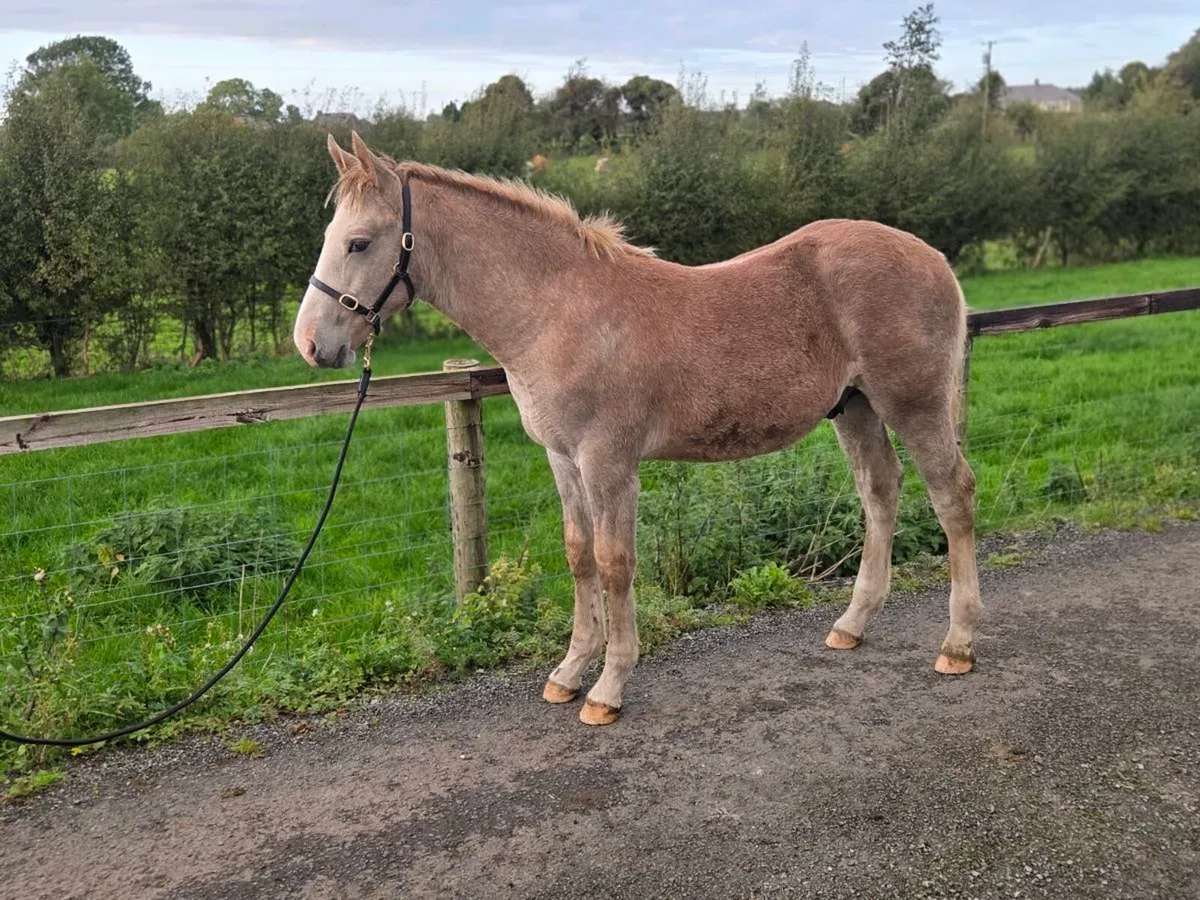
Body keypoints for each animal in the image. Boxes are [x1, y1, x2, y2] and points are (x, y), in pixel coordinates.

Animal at [293, 132, 982, 727]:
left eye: (359, 243)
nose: (310, 344)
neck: (555, 310)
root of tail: (934, 258)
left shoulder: (608, 461)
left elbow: (614, 561)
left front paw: (608, 687)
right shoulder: (563, 458)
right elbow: (578, 555)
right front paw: (569, 672)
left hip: (913, 406)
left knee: (953, 496)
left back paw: (958, 642)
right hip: (856, 408)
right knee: (880, 491)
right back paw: (852, 624)